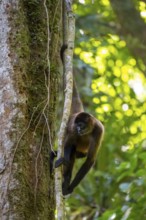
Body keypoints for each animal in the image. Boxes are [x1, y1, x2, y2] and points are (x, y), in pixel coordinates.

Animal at [53, 45, 103, 196]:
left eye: (82, 125)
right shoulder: (72, 128)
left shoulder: (99, 130)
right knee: (72, 148)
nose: (79, 129)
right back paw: (66, 176)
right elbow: (68, 144)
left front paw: (70, 187)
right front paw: (65, 169)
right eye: (78, 125)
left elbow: (90, 160)